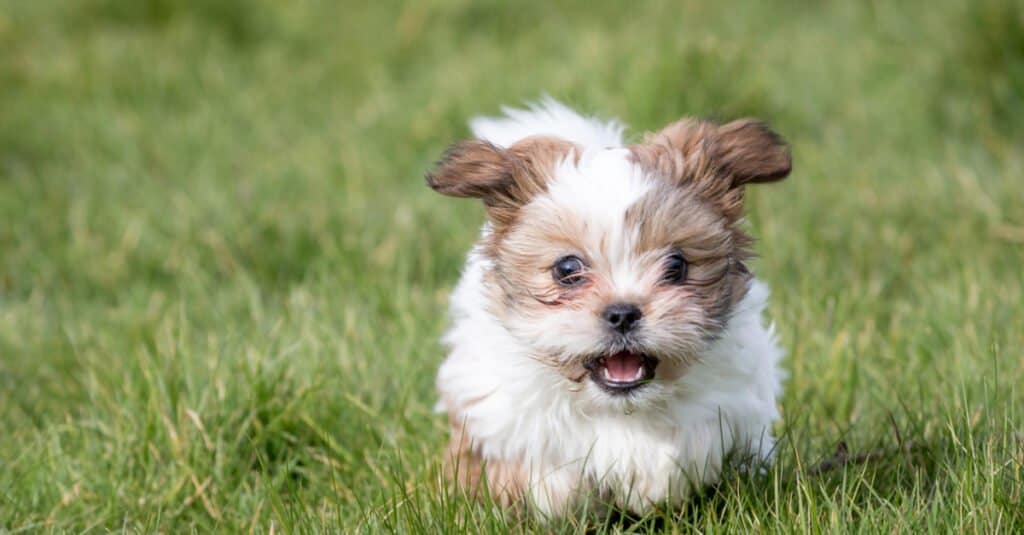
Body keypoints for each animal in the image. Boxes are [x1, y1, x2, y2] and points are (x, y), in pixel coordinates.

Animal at [425, 97, 790, 514]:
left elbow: (694, 438)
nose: (623, 313)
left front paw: (654, 476)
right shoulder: (491, 403)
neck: (617, 406)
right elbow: (544, 470)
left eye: (676, 266)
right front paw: (564, 495)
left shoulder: (735, 396)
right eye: (567, 269)